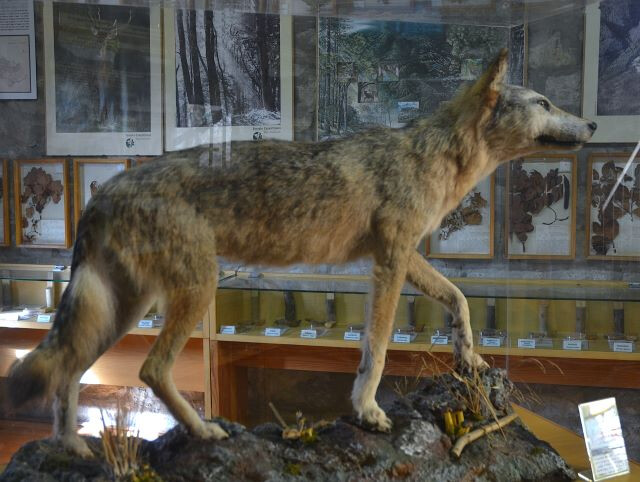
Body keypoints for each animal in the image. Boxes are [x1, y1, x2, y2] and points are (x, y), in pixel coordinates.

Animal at [4, 50, 595, 456]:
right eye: (544, 102)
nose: (591, 123)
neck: (435, 157)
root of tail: (102, 192)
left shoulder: (405, 256)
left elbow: (461, 298)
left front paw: (469, 357)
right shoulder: (388, 263)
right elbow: (378, 347)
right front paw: (368, 410)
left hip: (127, 308)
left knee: (68, 371)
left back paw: (74, 449)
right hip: (192, 291)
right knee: (148, 370)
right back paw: (204, 431)